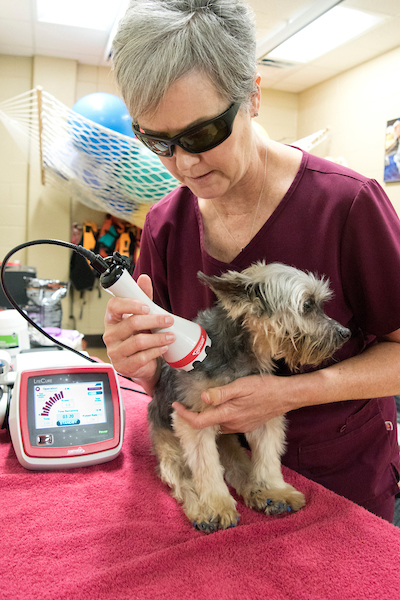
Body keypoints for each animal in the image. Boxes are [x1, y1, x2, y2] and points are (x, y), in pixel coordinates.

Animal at [147, 260, 350, 532]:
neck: (243, 352)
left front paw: (274, 488)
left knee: (239, 470)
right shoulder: (194, 422)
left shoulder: (263, 412)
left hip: (229, 444)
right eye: (307, 305)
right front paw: (217, 506)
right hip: (169, 449)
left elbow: (267, 457)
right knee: (184, 479)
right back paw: (202, 511)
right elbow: (206, 468)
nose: (345, 332)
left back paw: (262, 495)